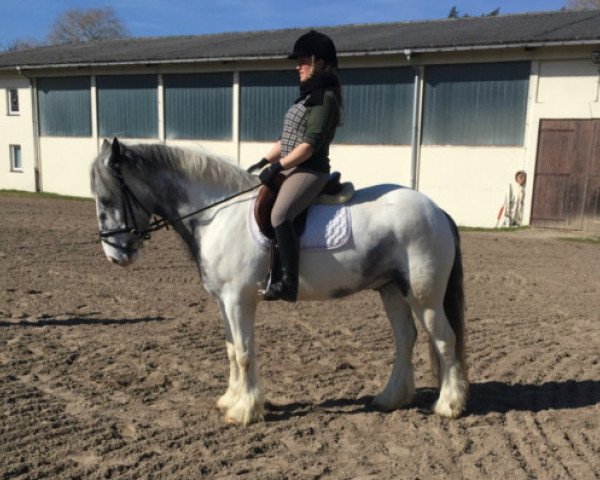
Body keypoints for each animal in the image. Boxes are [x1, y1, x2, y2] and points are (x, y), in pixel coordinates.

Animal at [91, 138, 472, 424]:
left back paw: (449, 405)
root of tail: (437, 210)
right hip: (391, 289)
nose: (116, 256)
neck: (216, 213)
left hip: (424, 296)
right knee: (406, 338)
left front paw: (245, 411)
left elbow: (244, 352)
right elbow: (231, 350)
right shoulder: (223, 301)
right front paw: (230, 400)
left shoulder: (238, 299)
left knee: (444, 339)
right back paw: (391, 398)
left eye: (107, 198)